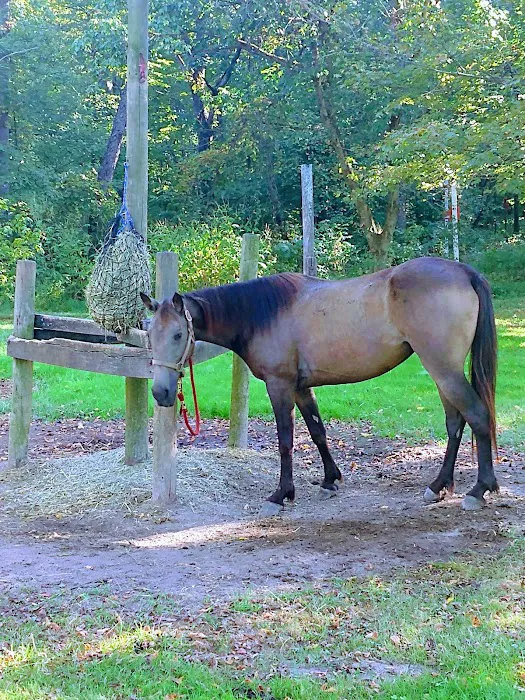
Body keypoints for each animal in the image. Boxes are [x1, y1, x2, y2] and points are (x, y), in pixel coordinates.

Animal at [141, 256, 498, 515]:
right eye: (149, 336)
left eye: (178, 335)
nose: (160, 393)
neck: (262, 314)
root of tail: (463, 271)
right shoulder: (301, 387)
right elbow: (317, 431)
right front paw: (330, 480)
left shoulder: (280, 386)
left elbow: (286, 441)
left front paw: (281, 494)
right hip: (442, 372)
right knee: (455, 423)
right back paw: (439, 486)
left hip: (443, 369)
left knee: (477, 416)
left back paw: (479, 490)